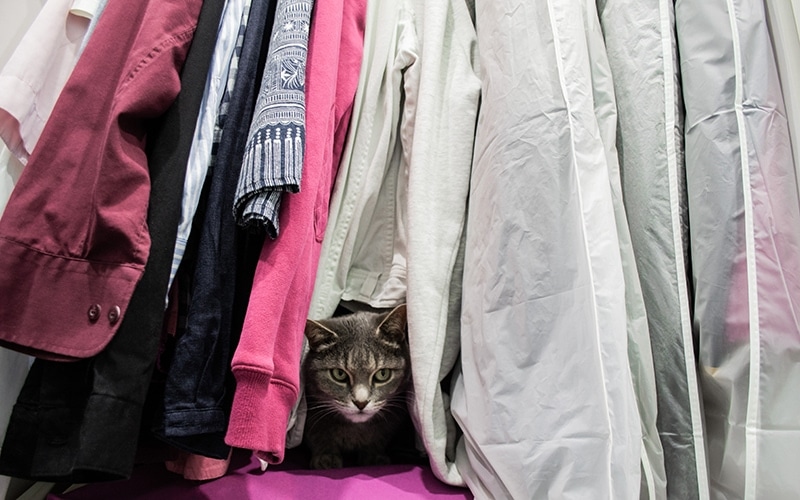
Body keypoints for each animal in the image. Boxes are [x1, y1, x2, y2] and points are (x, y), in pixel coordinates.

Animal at [302, 302, 412, 470]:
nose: (361, 403)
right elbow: (318, 435)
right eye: (339, 374)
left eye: (383, 374)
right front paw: (326, 457)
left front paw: (373, 456)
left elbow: (378, 438)